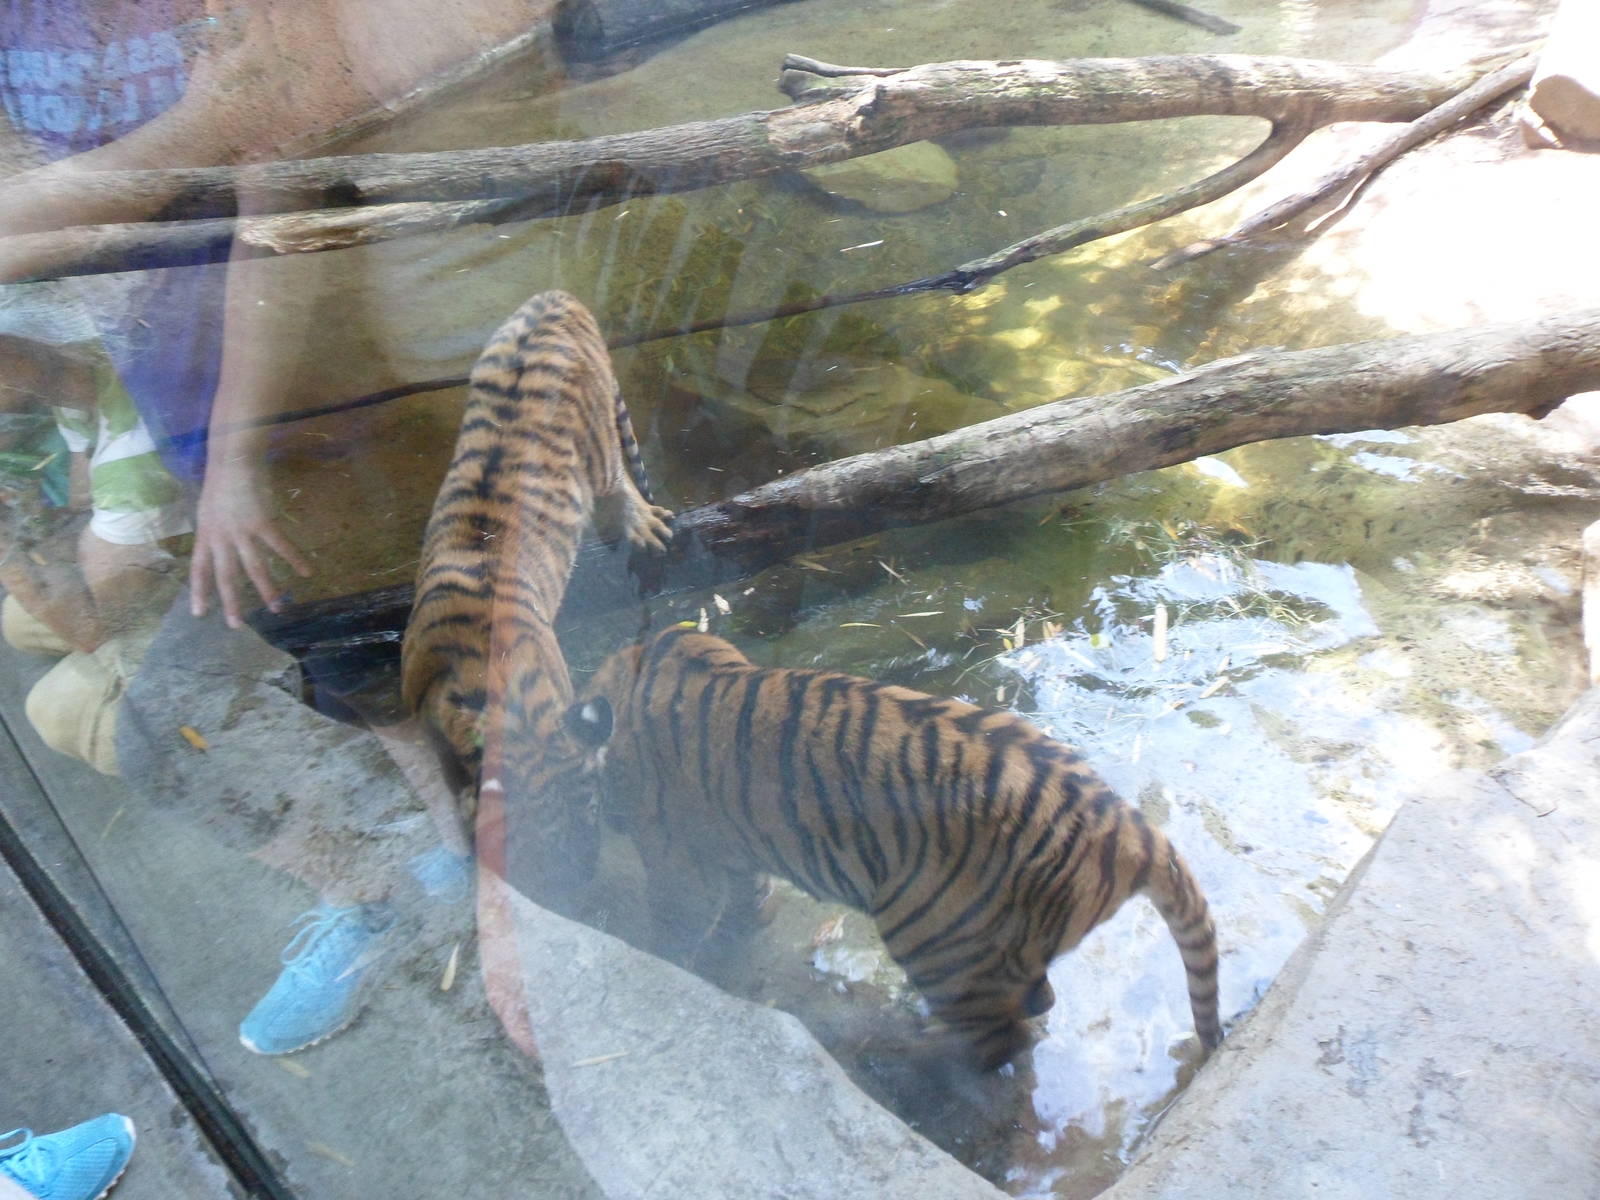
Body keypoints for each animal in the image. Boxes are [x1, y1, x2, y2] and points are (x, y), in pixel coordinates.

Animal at [399, 290, 673, 887]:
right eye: (543, 845)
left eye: (594, 816)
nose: (584, 886)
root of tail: (560, 299)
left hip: (600, 453)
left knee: (619, 482)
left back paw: (641, 526)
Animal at [575, 624, 1222, 1069]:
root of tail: (1126, 823)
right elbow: (744, 893)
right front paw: (745, 922)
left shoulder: (676, 854)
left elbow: (676, 916)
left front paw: (656, 952)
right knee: (1033, 1003)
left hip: (930, 928)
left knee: (1000, 1039)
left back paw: (903, 1053)